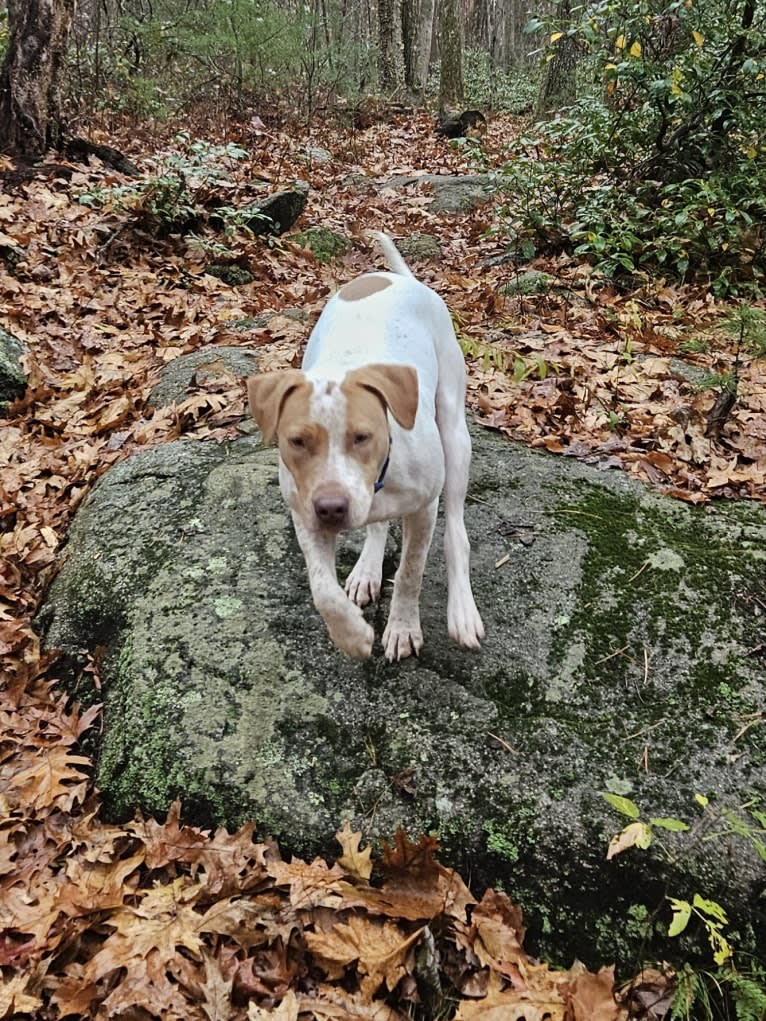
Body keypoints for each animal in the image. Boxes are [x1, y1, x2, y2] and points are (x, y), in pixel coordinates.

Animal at [247, 232, 486, 661]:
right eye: (297, 441)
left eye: (362, 437)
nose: (331, 508)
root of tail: (403, 279)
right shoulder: (303, 512)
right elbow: (322, 588)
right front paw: (351, 634)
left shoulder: (424, 509)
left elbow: (410, 572)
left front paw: (403, 628)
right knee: (377, 525)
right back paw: (366, 570)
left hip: (455, 433)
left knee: (456, 532)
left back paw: (461, 609)